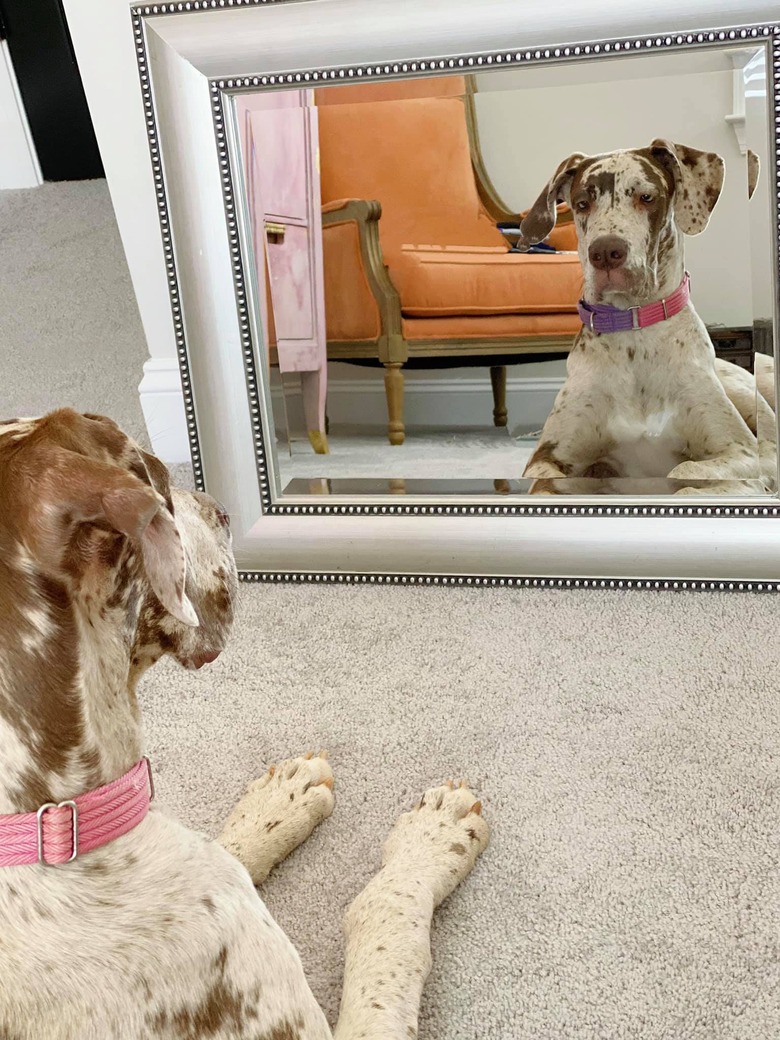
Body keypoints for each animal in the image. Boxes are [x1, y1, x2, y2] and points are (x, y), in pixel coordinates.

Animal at [0, 409, 488, 1040]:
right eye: (158, 476)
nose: (221, 509)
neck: (55, 824)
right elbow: (387, 911)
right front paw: (431, 840)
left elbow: (232, 842)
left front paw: (277, 803)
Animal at [522, 140, 777, 492]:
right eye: (582, 203)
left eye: (646, 197)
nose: (605, 253)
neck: (635, 331)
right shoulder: (547, 461)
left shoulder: (739, 454)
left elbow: (685, 474)